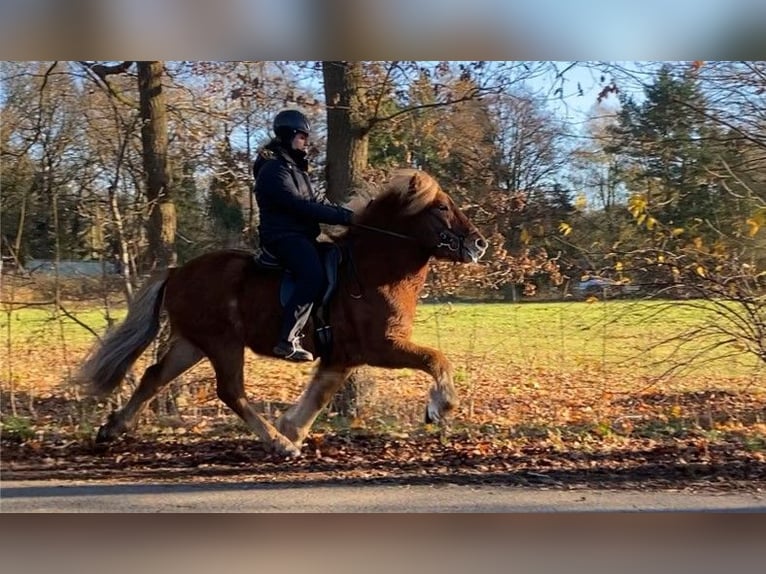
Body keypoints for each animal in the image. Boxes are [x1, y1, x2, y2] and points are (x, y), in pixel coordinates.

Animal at [76, 170, 486, 460]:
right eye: (442, 207)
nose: (479, 244)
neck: (373, 268)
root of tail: (177, 272)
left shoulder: (343, 357)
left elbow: (319, 394)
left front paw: (292, 428)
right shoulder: (382, 347)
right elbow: (437, 360)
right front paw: (439, 408)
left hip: (191, 343)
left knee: (153, 377)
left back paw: (112, 430)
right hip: (223, 343)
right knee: (230, 391)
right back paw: (277, 445)